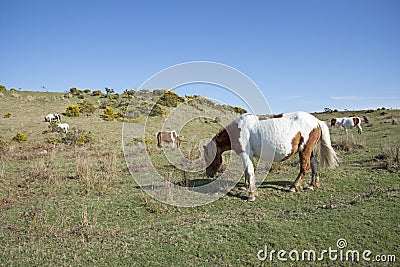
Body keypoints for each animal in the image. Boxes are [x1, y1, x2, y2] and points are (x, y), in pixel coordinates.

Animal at [203, 112, 338, 202]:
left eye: (208, 158)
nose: (208, 174)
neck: (239, 129)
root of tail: (317, 122)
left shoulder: (245, 154)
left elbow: (250, 172)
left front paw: (252, 195)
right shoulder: (248, 155)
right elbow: (247, 171)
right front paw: (245, 186)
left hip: (304, 150)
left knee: (305, 167)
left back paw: (294, 187)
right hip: (310, 151)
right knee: (314, 164)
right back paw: (312, 185)